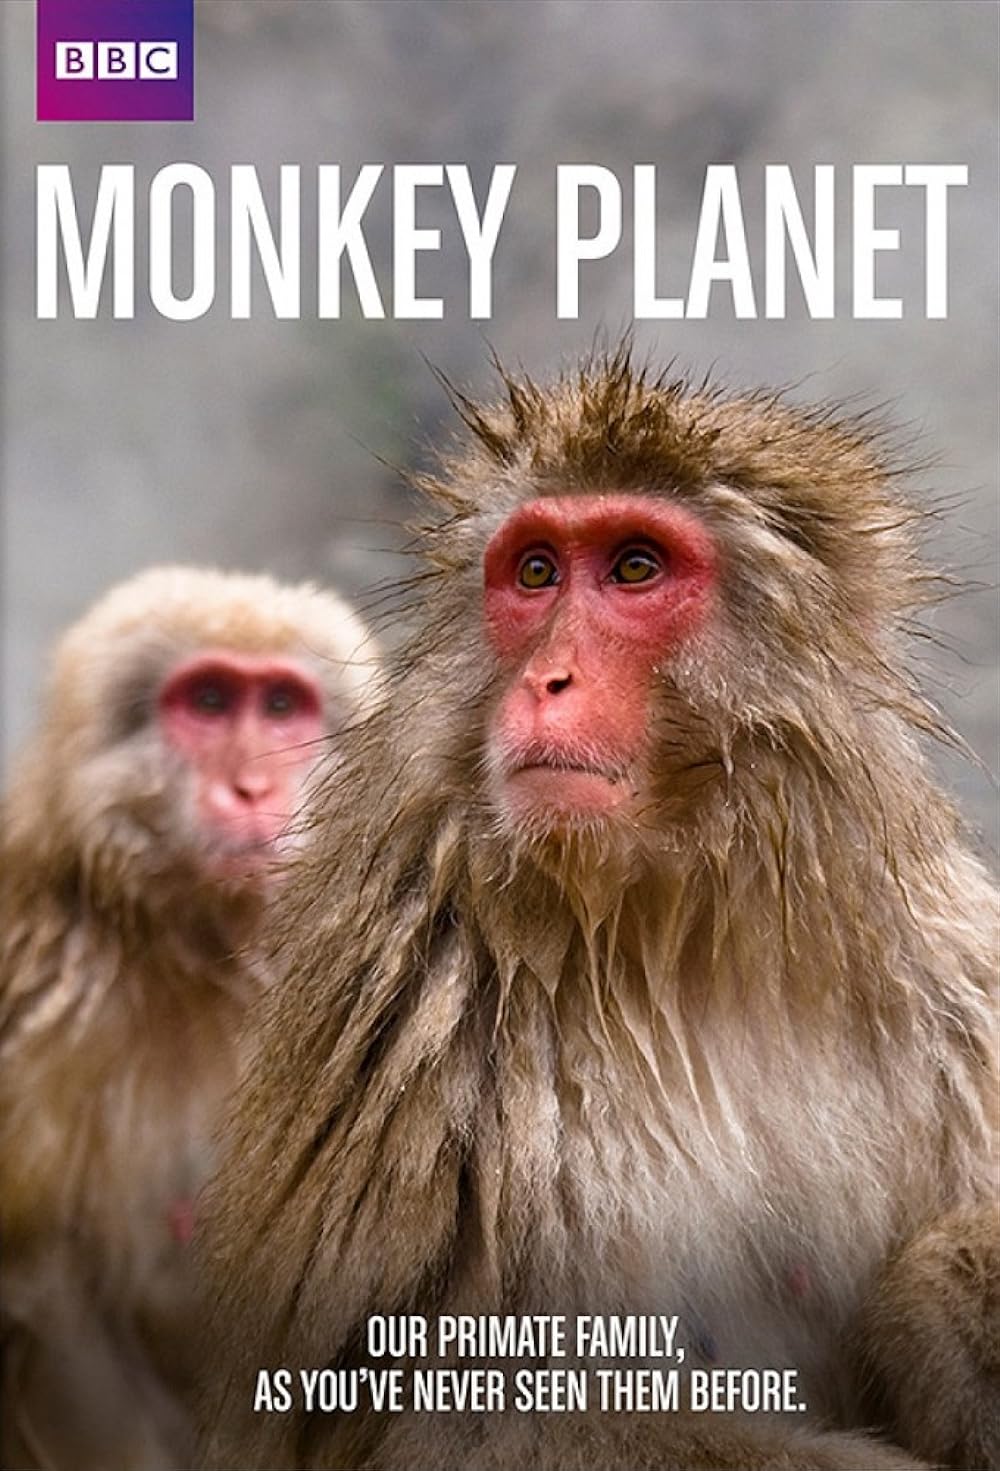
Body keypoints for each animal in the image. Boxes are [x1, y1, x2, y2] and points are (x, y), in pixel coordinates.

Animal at [195, 350, 998, 1471]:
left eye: (633, 568)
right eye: (536, 572)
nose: (547, 678)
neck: (688, 920)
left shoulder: (955, 959)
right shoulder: (412, 977)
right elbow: (444, 1414)